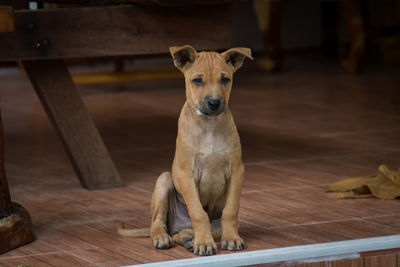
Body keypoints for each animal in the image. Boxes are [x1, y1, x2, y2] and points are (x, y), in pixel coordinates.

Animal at [117, 45, 252, 256]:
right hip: (164, 180)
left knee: (185, 233)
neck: (209, 125)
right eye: (197, 80)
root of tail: (175, 226)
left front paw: (231, 238)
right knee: (158, 224)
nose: (214, 103)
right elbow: (198, 212)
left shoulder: (237, 171)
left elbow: (230, 210)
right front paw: (204, 243)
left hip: (209, 222)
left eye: (225, 79)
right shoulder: (185, 174)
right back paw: (165, 238)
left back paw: (189, 238)